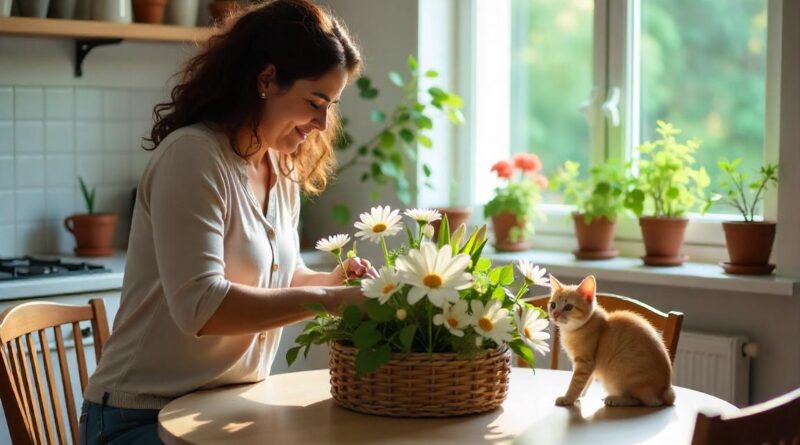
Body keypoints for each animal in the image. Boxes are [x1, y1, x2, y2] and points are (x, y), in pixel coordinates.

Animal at [548, 274, 672, 406]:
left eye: (568, 307)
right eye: (553, 305)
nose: (555, 314)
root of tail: (666, 391)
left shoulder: (585, 363)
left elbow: (576, 383)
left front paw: (568, 398)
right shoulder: (588, 366)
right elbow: (586, 382)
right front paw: (579, 396)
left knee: (639, 400)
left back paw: (614, 399)